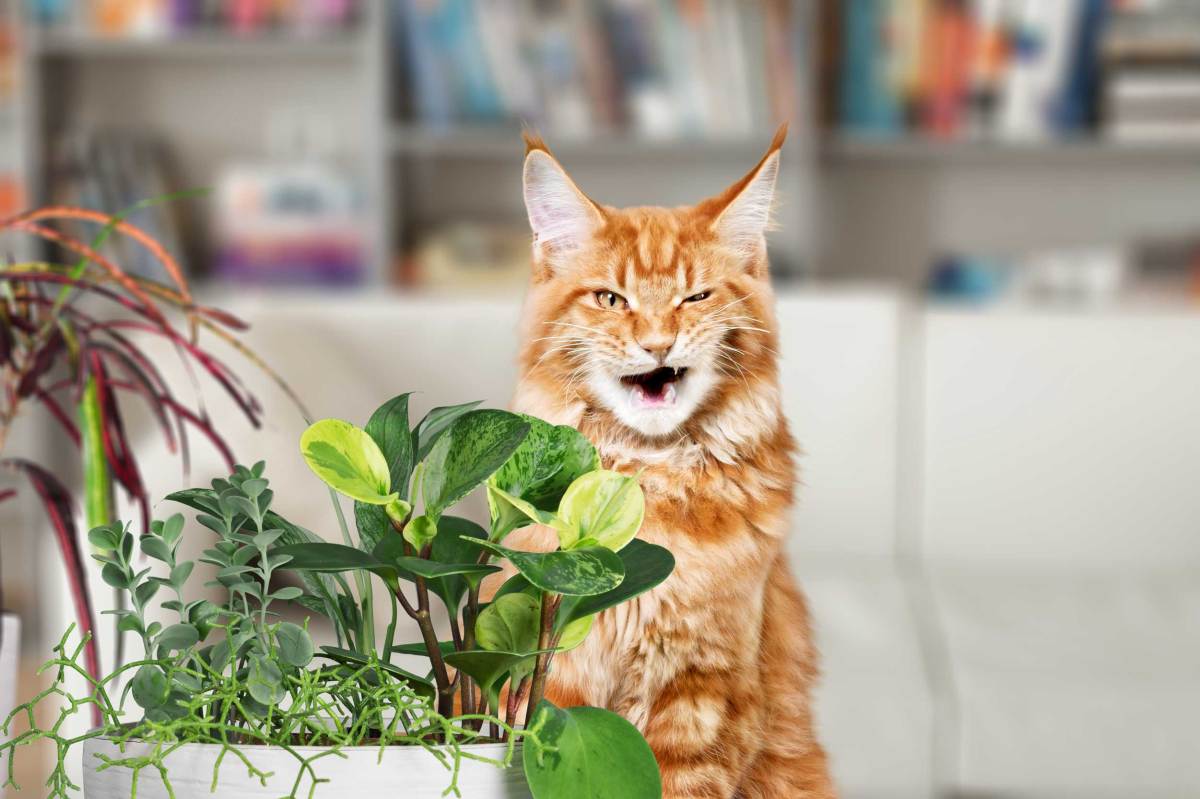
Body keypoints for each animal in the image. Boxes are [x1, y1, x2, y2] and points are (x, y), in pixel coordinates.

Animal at [501, 127, 830, 791]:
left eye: (695, 297)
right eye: (611, 299)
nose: (658, 344)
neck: (642, 494)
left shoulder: (706, 686)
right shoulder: (552, 674)